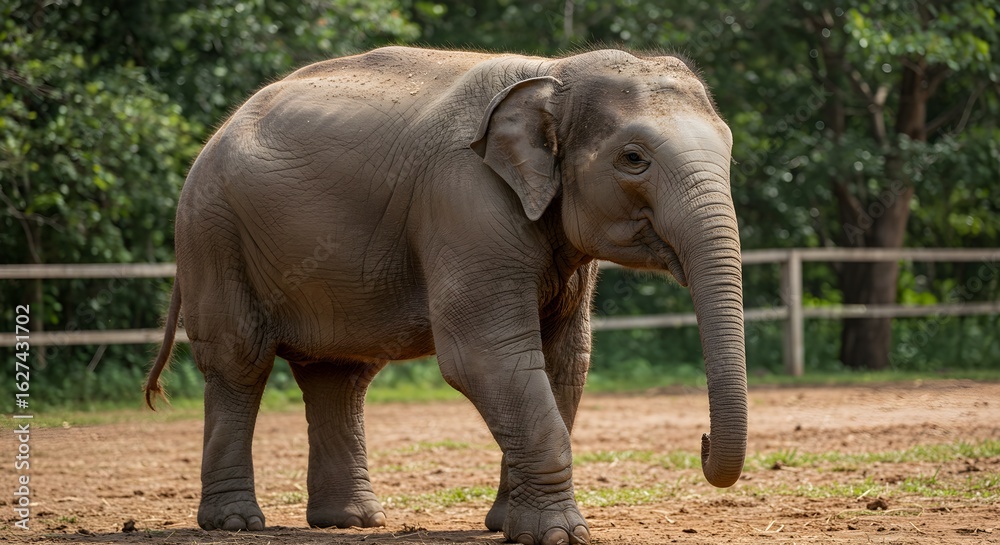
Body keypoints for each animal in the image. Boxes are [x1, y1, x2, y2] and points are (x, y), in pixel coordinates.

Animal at [145, 46, 747, 545]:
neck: (555, 71)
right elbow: (488, 356)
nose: (701, 441)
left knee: (338, 374)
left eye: (730, 152)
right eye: (633, 158)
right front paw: (559, 536)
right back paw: (235, 523)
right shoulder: (462, 200)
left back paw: (351, 522)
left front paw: (508, 527)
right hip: (212, 234)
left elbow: (564, 361)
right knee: (239, 362)